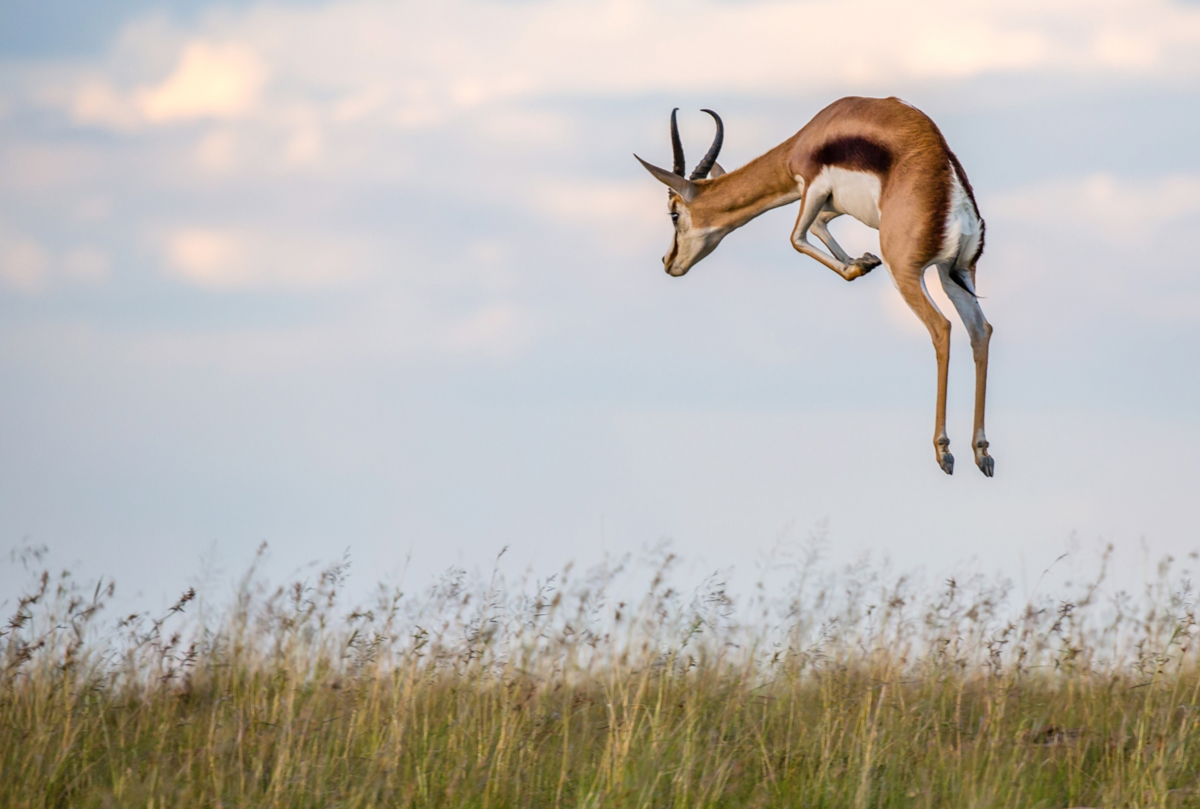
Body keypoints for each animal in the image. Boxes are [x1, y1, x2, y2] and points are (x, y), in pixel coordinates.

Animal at [638, 95, 993, 475]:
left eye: (674, 213)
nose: (668, 262)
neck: (810, 138)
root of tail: (953, 189)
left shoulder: (811, 187)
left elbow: (796, 238)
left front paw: (857, 266)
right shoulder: (831, 205)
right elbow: (821, 227)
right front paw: (862, 261)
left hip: (906, 272)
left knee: (942, 327)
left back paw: (945, 451)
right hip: (955, 274)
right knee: (980, 331)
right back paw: (982, 453)